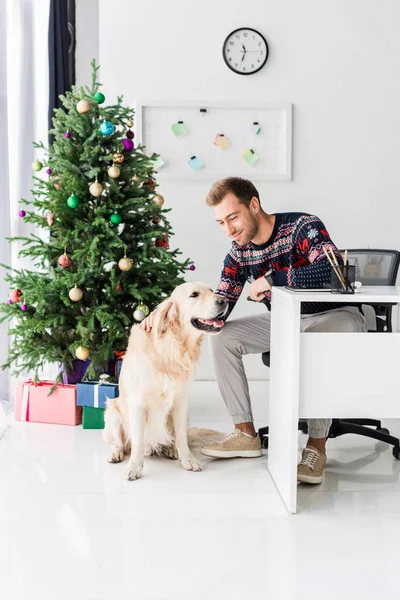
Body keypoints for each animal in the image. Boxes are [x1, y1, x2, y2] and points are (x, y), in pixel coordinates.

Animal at [103, 278, 228, 480]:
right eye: (194, 294)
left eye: (211, 290)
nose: (224, 300)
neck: (172, 348)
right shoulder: (137, 404)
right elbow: (138, 441)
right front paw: (134, 467)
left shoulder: (180, 402)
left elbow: (182, 437)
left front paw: (188, 460)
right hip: (112, 412)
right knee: (119, 442)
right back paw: (116, 453)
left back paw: (171, 450)